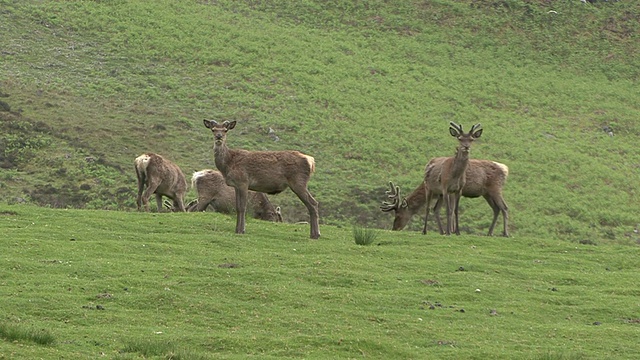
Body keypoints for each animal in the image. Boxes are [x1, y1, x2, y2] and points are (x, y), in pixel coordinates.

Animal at [380, 156, 510, 235]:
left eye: (398, 215)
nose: (394, 228)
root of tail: (505, 169)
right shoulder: (442, 194)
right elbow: (437, 209)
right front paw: (444, 231)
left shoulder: (449, 192)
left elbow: (451, 210)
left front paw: (451, 230)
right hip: (486, 193)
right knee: (496, 208)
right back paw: (489, 232)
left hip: (496, 188)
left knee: (504, 207)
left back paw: (505, 233)